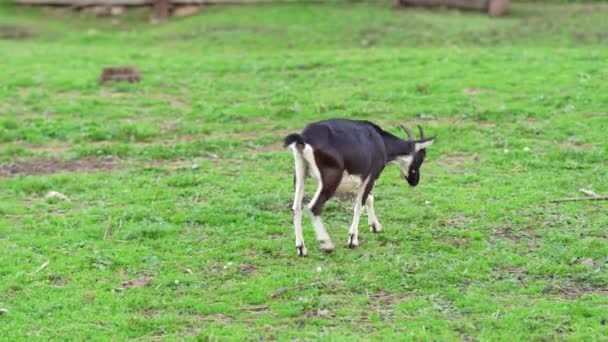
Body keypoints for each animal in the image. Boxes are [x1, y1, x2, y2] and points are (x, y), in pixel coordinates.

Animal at [282, 119, 434, 255]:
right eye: (421, 157)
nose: (415, 181)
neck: (379, 141)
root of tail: (304, 137)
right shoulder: (371, 176)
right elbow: (359, 205)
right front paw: (352, 240)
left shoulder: (362, 179)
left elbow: (369, 199)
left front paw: (376, 227)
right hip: (330, 180)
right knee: (314, 207)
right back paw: (327, 244)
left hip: (300, 174)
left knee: (296, 207)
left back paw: (301, 248)